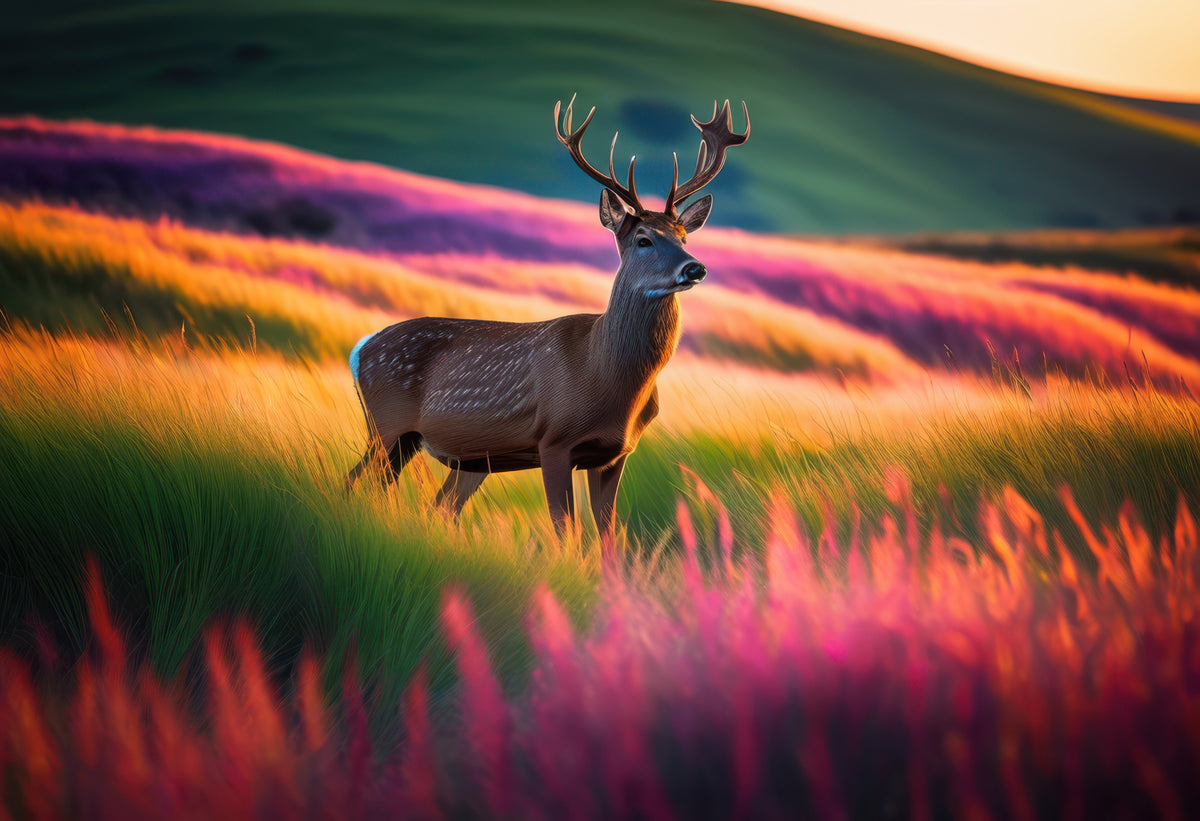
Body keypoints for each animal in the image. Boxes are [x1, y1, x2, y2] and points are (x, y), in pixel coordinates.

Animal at [345, 97, 749, 543]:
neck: (606, 375)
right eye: (643, 239)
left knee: (434, 504)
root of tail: (360, 348)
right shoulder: (554, 439)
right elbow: (565, 531)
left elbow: (609, 535)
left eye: (683, 237)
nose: (695, 268)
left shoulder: (615, 453)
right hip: (386, 423)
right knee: (354, 481)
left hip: (458, 454)